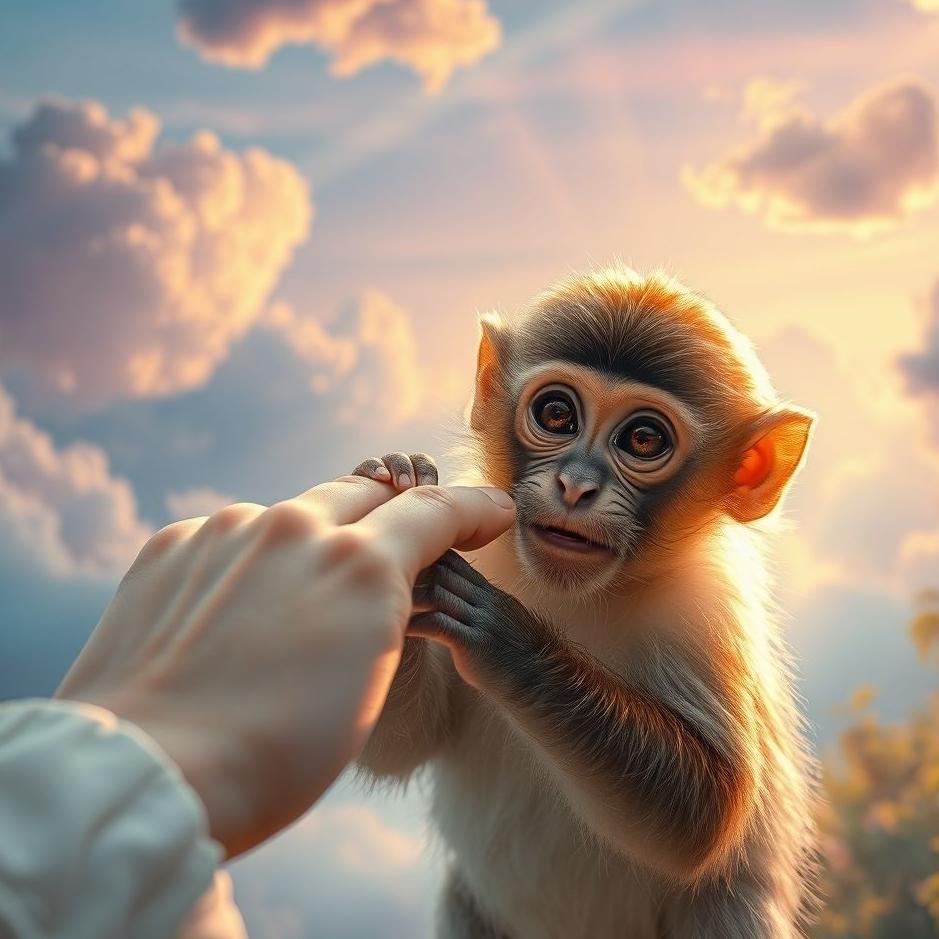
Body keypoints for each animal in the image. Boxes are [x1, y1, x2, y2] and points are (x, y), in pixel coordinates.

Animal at [351, 265, 818, 939]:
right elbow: (402, 744)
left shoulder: (708, 609)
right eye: (555, 413)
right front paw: (403, 496)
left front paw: (509, 642)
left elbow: (708, 815)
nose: (575, 485)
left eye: (644, 439)